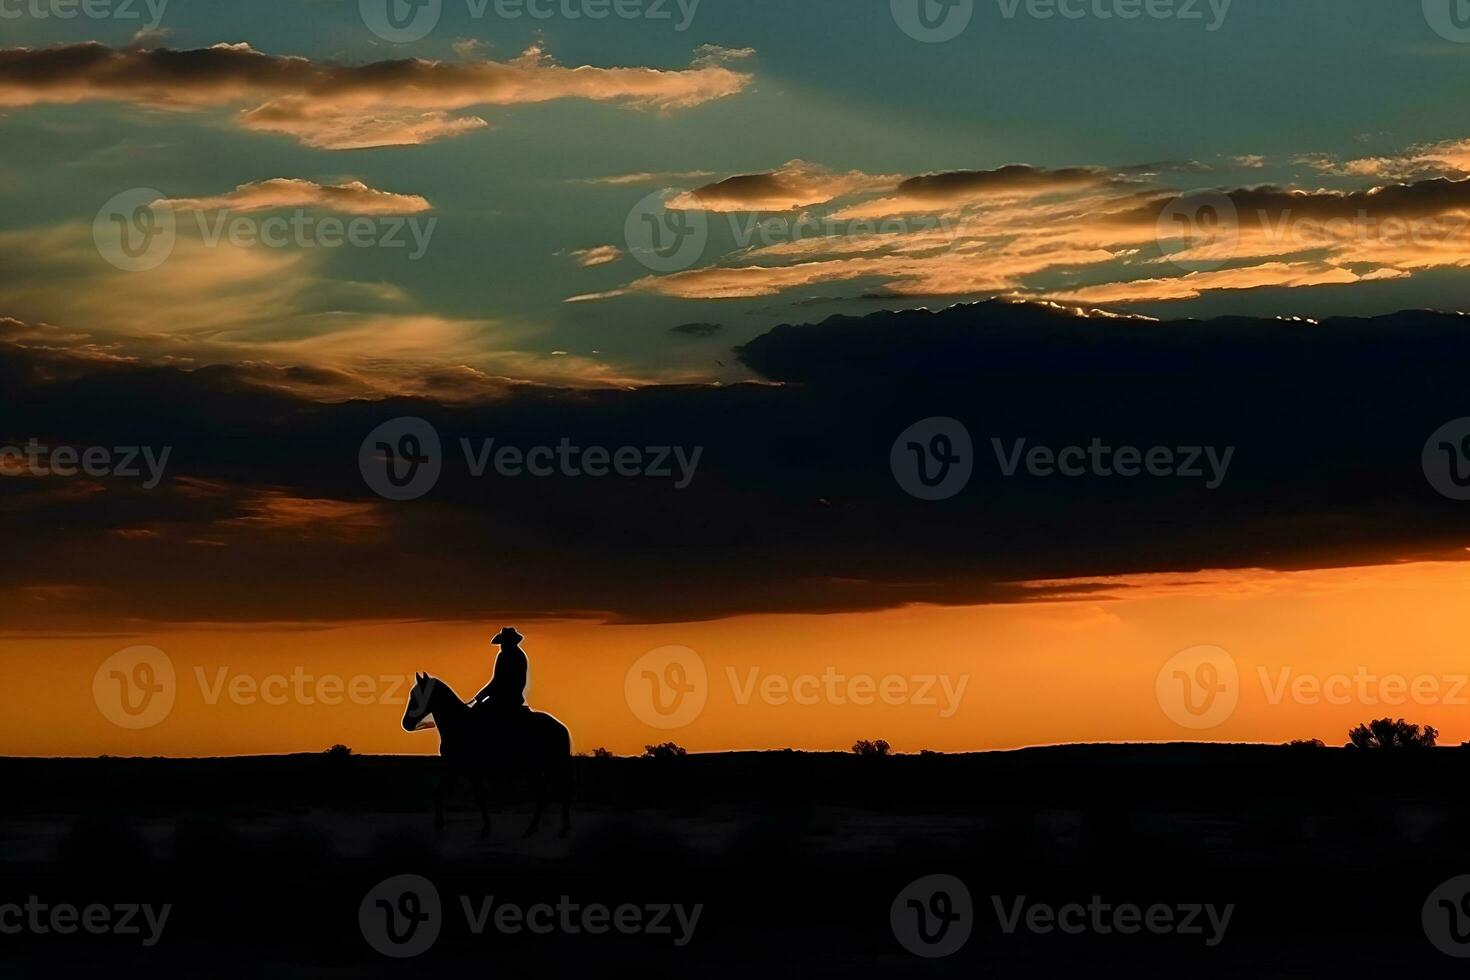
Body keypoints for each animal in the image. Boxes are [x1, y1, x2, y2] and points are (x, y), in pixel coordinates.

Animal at [402, 678, 573, 840]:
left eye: (417, 695)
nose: (406, 723)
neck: (458, 724)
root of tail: (561, 727)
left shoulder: (469, 771)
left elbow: (480, 798)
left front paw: (485, 829)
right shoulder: (453, 768)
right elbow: (438, 793)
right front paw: (439, 825)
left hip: (545, 768)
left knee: (558, 793)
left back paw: (559, 831)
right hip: (540, 769)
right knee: (546, 794)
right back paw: (532, 830)